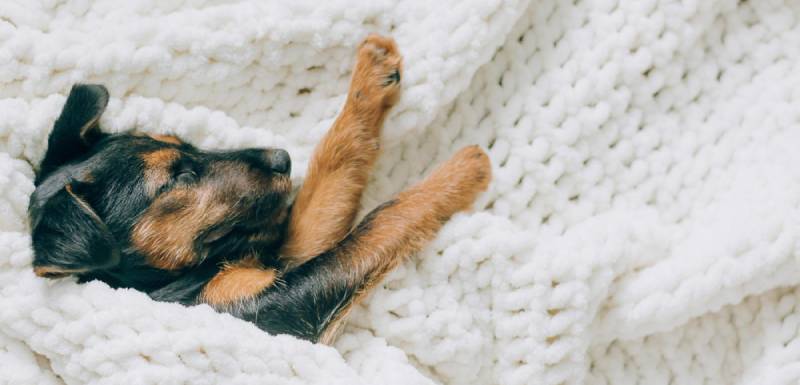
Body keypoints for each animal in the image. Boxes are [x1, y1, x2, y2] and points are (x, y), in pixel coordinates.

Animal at [28, 35, 490, 342]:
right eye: (177, 178)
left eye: (184, 143)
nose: (281, 159)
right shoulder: (281, 310)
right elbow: (378, 224)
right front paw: (465, 170)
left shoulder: (288, 258)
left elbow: (335, 165)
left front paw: (373, 72)